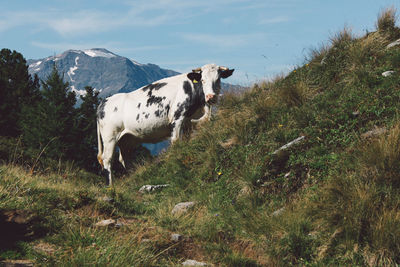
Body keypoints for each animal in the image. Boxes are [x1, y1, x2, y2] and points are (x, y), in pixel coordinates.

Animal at [97, 64, 234, 186]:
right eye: (203, 80)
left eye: (218, 79)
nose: (211, 97)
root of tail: (104, 102)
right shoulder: (177, 119)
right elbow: (176, 142)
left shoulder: (189, 123)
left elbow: (186, 141)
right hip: (110, 137)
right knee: (107, 159)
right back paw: (111, 186)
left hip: (127, 139)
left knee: (125, 159)